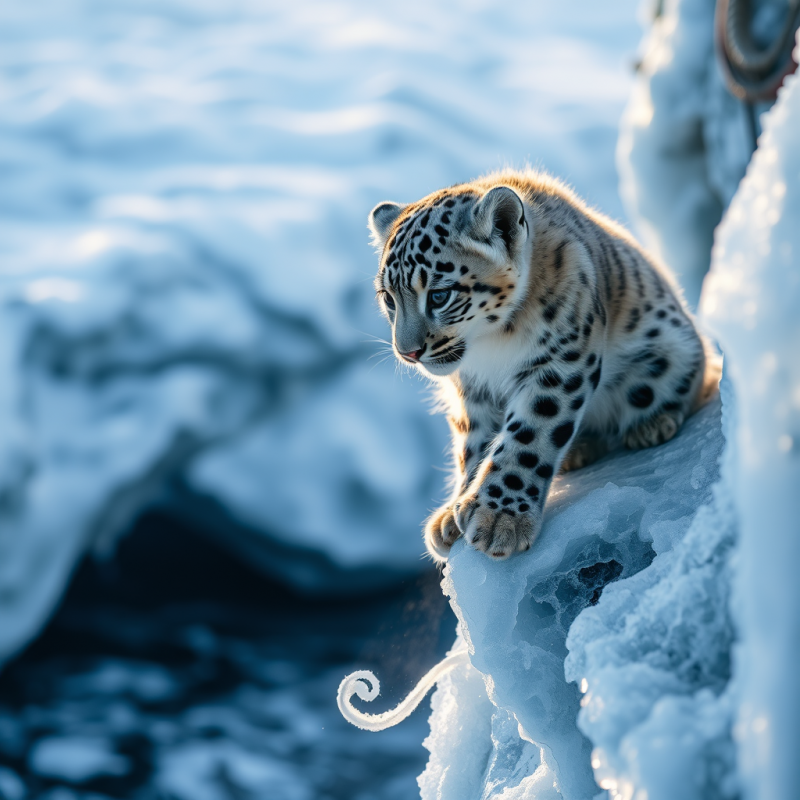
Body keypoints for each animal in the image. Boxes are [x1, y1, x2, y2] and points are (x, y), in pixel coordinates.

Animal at [369, 169, 720, 562]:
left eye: (440, 295)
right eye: (388, 298)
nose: (407, 352)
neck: (489, 349)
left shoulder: (558, 363)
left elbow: (528, 435)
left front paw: (499, 518)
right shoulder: (472, 392)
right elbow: (473, 444)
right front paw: (453, 515)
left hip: (670, 356)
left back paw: (651, 425)